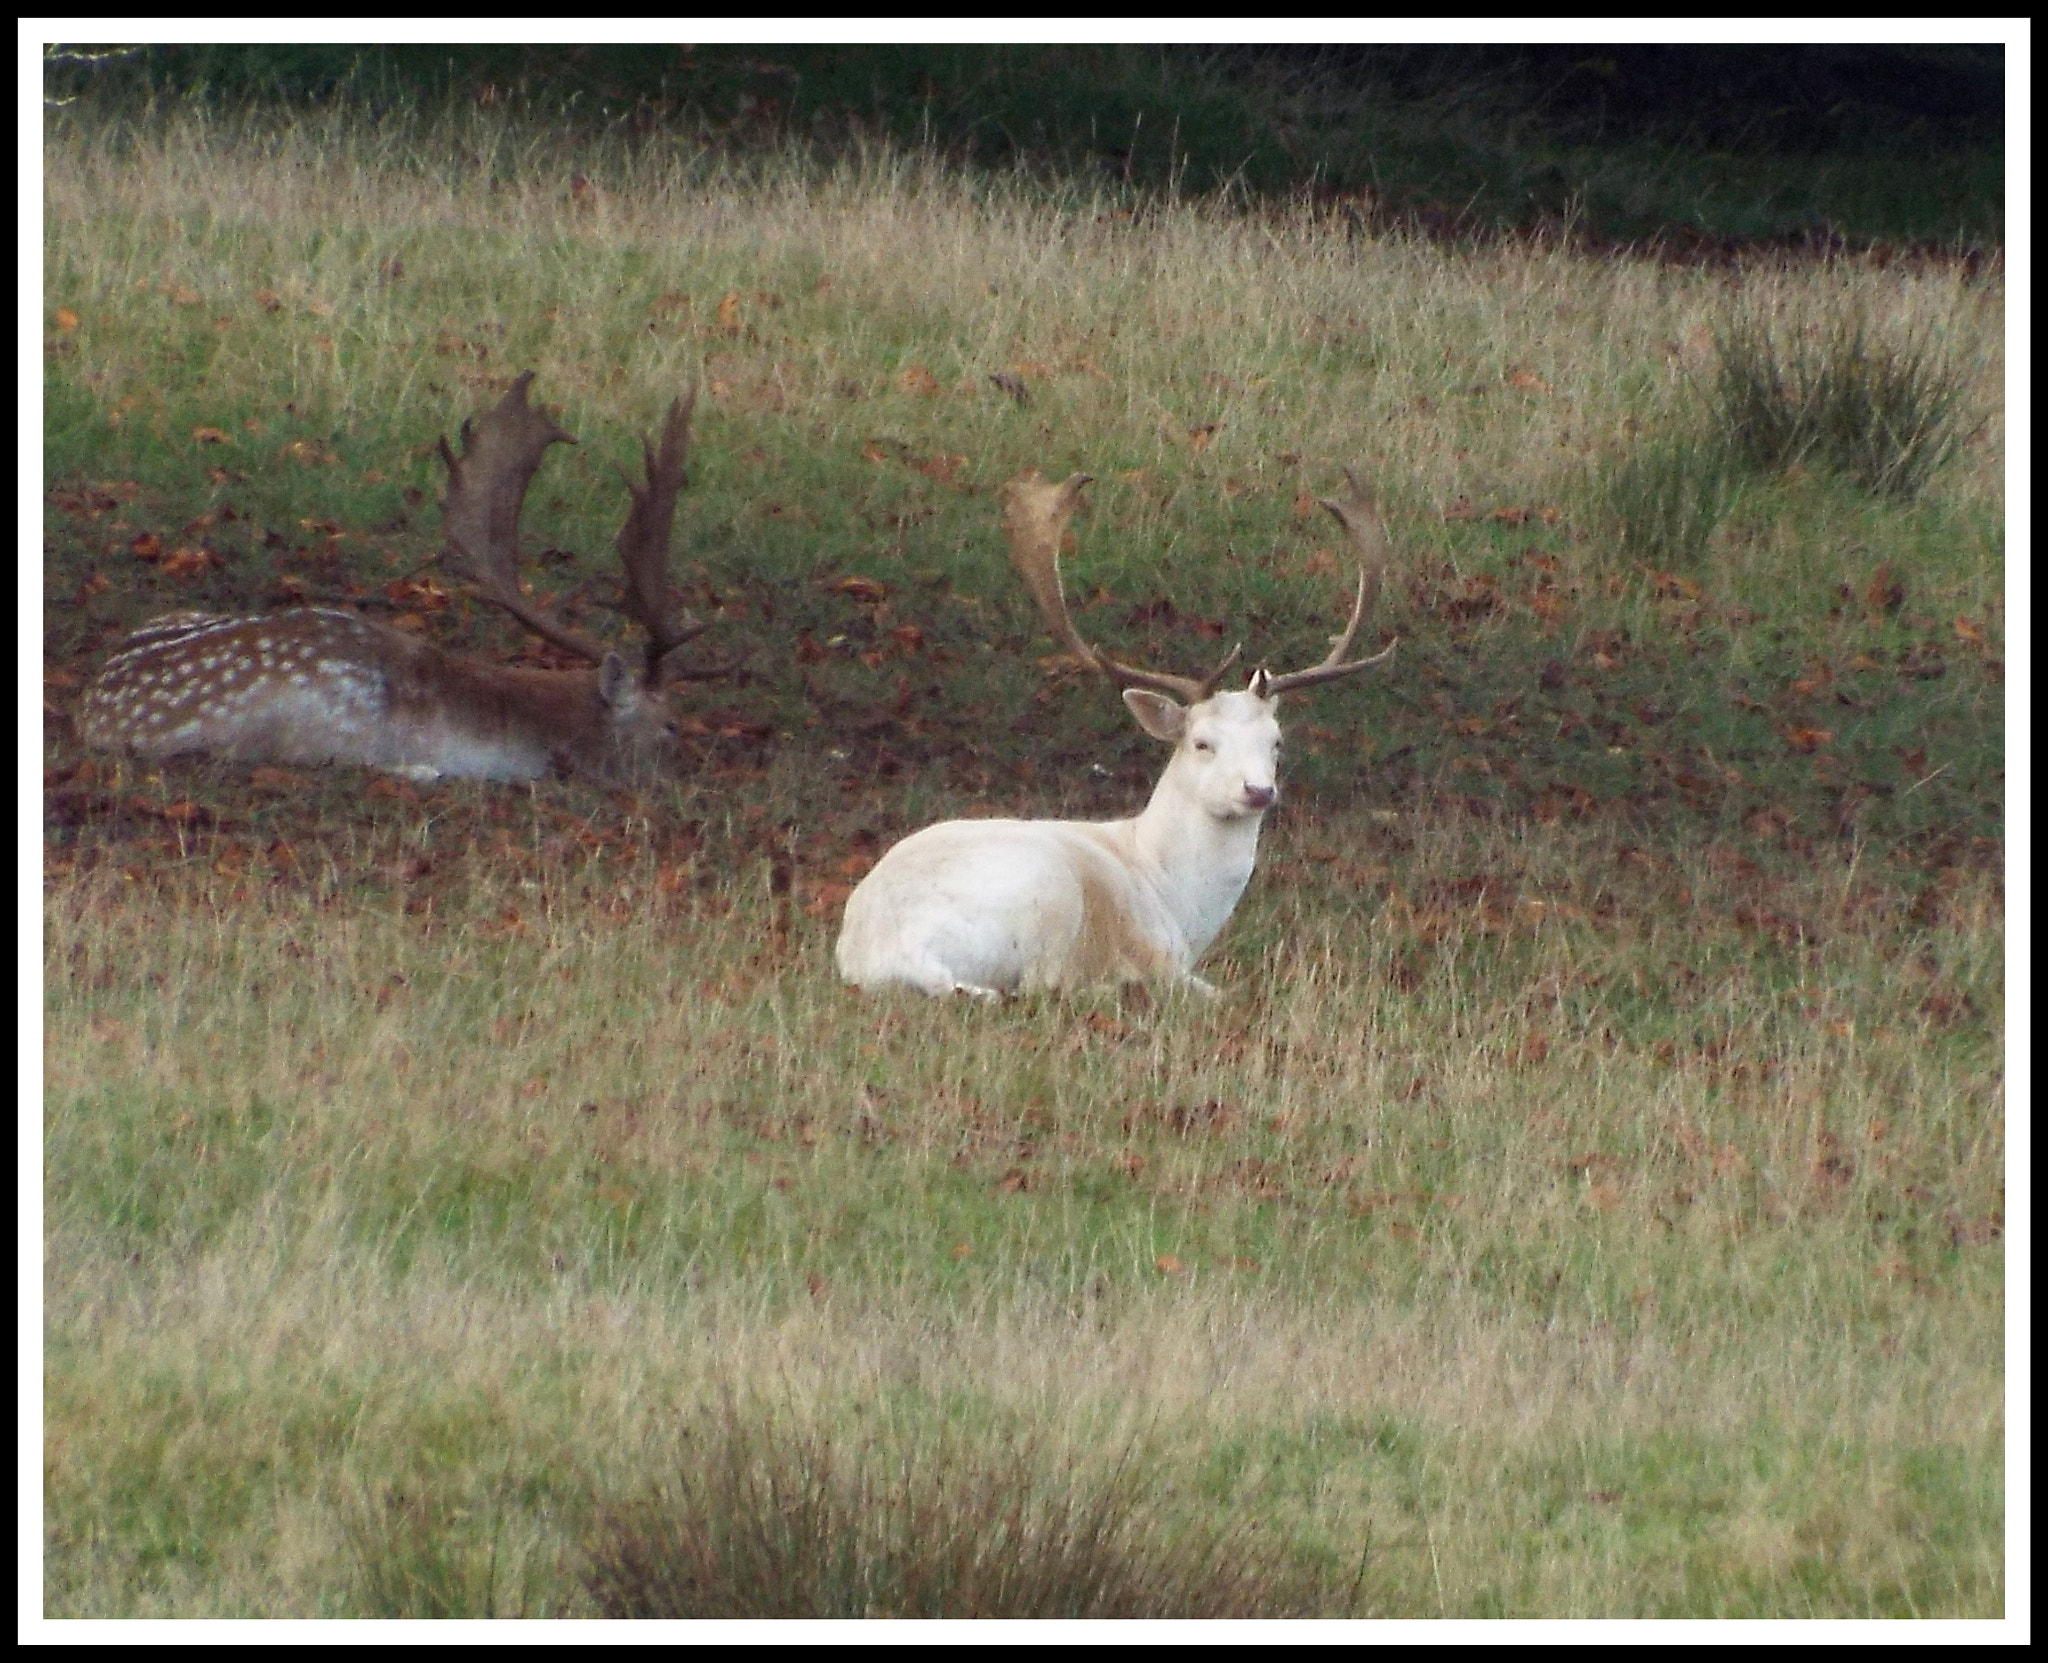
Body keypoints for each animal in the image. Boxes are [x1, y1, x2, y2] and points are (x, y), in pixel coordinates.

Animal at [831, 464, 1392, 999]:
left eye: (1276, 742)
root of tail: (888, 957)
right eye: (1201, 743)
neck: (1177, 901)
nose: (1258, 790)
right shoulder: (1161, 953)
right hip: (1044, 891)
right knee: (1043, 981)